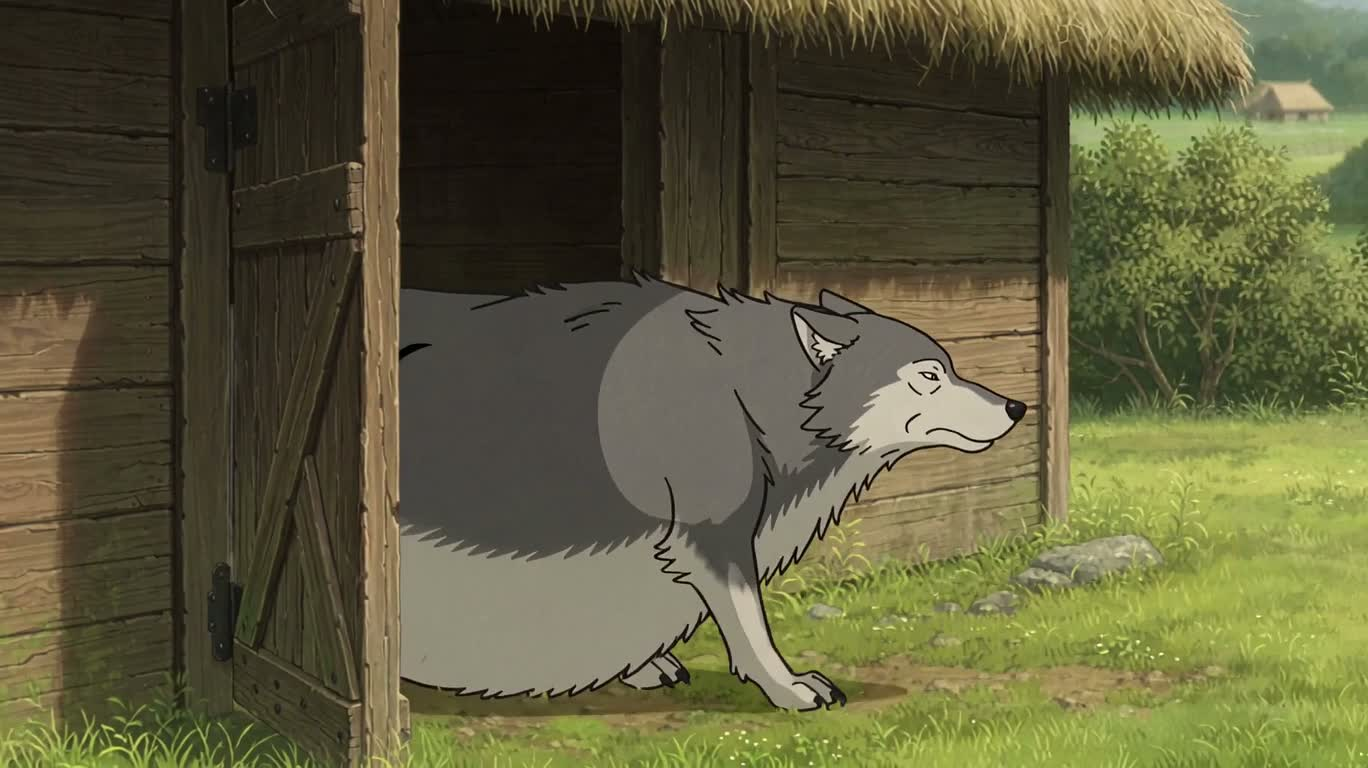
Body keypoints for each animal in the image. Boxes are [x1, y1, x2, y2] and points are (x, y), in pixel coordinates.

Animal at [398, 275, 1027, 711]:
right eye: (930, 375)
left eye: (951, 367)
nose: (1018, 407)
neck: (745, 391)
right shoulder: (712, 536)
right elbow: (750, 620)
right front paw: (787, 687)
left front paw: (644, 667)